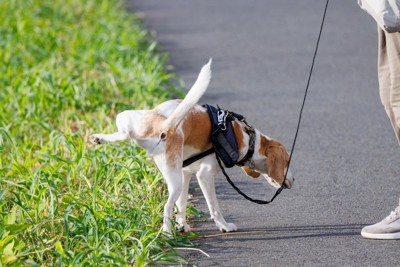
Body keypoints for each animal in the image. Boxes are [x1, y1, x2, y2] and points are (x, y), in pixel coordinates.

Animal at [90, 59, 294, 233]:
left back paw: (98, 138)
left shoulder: (186, 173)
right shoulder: (205, 176)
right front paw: (224, 226)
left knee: (124, 134)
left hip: (128, 118)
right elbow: (213, 207)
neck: (246, 138)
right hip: (175, 182)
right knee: (166, 206)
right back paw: (167, 232)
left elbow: (181, 205)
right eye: (287, 161)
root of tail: (164, 127)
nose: (293, 179)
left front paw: (183, 225)